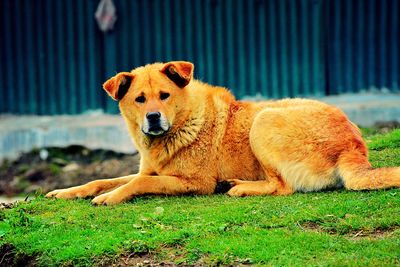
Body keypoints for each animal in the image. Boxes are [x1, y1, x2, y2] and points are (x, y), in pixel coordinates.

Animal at [45, 61, 400, 206]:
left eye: (164, 95)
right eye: (140, 99)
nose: (153, 118)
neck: (181, 124)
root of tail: (355, 148)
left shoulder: (193, 183)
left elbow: (137, 183)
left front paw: (110, 197)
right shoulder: (151, 169)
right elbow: (104, 178)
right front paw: (67, 191)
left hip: (264, 120)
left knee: (282, 187)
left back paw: (240, 188)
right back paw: (234, 183)